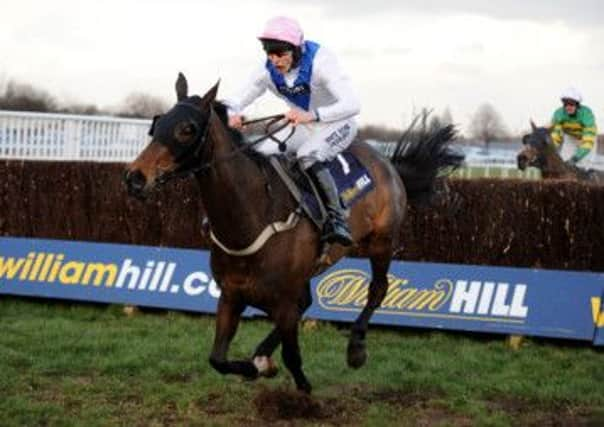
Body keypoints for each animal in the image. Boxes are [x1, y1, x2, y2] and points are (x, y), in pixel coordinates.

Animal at [122, 73, 462, 394]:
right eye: (157, 123)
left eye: (187, 129)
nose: (134, 178)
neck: (253, 216)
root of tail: (387, 162)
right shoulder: (231, 295)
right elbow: (217, 359)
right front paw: (255, 366)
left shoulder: (283, 300)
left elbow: (293, 356)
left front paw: (298, 388)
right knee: (307, 302)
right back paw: (263, 355)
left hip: (382, 242)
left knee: (377, 289)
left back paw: (356, 349)